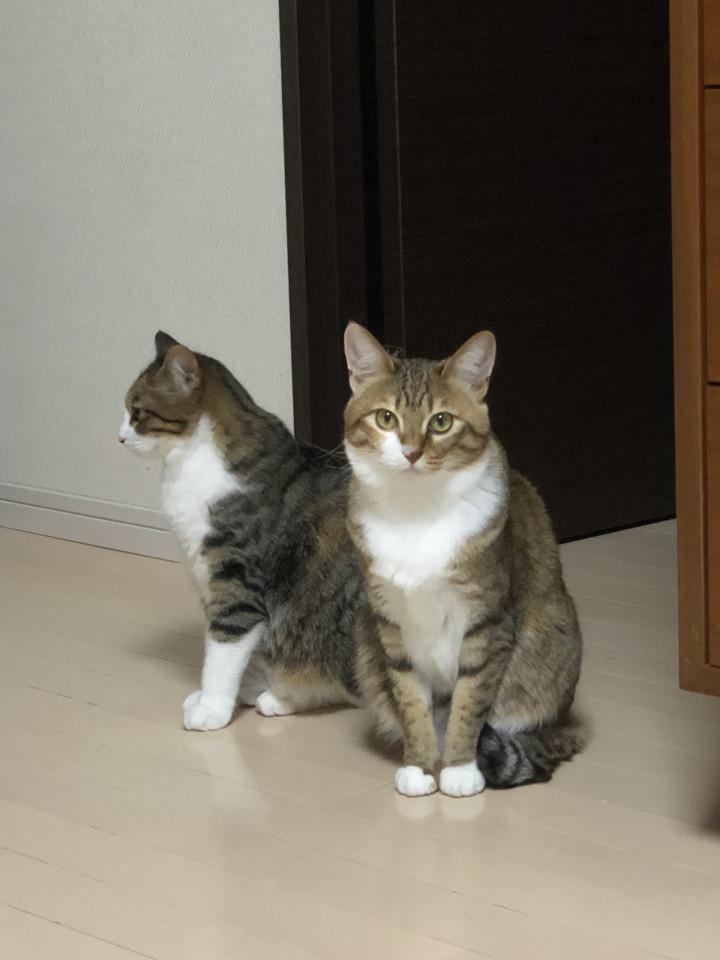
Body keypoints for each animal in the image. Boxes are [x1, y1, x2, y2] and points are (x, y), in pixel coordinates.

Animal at [119, 331, 363, 730]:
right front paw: (240, 687)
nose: (120, 437)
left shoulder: (235, 578)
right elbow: (226, 646)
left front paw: (211, 707)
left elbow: (223, 649)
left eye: (136, 412)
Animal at [343, 323, 584, 797]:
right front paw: (420, 764)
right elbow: (410, 699)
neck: (416, 512)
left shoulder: (487, 619)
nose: (411, 452)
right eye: (385, 418)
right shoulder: (391, 622)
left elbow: (470, 700)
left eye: (441, 421)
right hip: (365, 640)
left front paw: (458, 766)